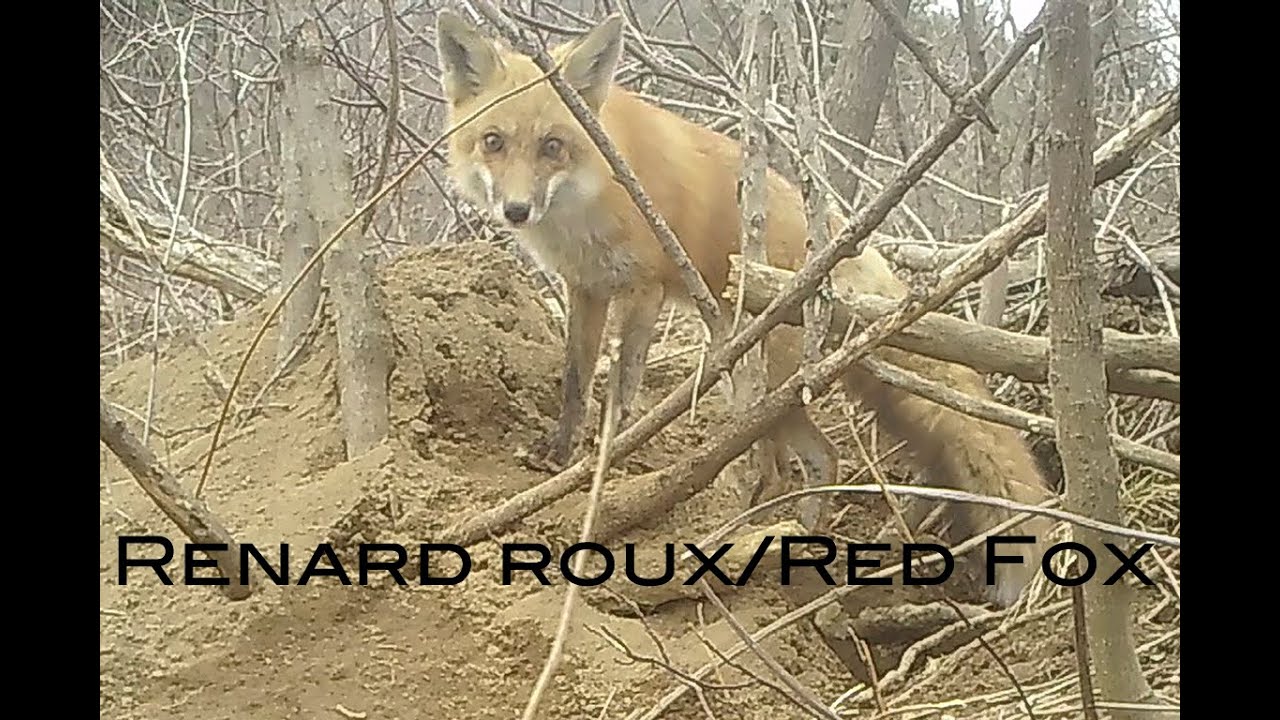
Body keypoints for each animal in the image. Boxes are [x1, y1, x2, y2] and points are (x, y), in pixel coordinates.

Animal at [434, 10, 1056, 608]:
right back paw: (793, 549)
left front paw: (611, 453)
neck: (586, 199)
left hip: (761, 379)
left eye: (552, 146)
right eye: (493, 141)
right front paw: (559, 454)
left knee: (789, 464)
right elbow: (575, 381)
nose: (516, 210)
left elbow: (623, 388)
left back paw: (751, 537)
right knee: (819, 461)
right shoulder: (586, 288)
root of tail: (849, 252)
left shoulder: (644, 286)